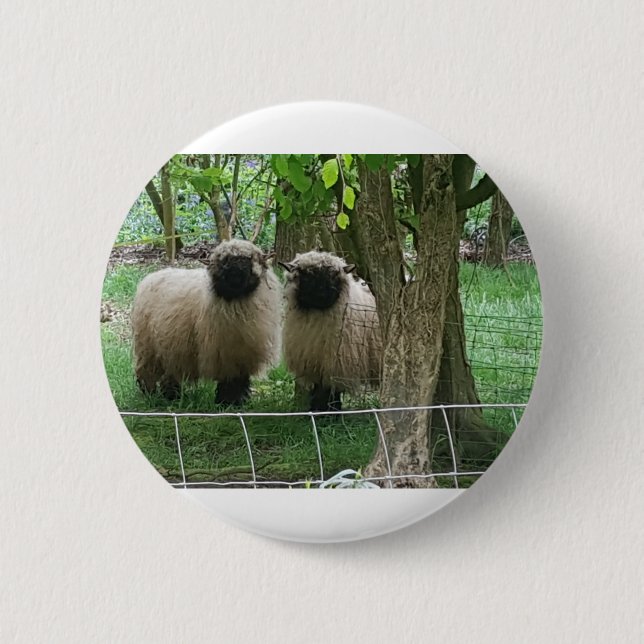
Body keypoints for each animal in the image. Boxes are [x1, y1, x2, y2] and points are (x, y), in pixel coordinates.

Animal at [131, 239, 281, 405]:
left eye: (249, 258)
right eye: (224, 260)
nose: (236, 266)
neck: (236, 302)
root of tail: (151, 276)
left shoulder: (241, 355)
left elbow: (239, 380)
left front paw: (237, 402)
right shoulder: (225, 355)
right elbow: (230, 381)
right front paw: (227, 402)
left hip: (169, 346)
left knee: (169, 372)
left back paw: (172, 396)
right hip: (148, 346)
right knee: (146, 372)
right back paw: (150, 394)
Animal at [280, 251, 382, 412]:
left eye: (334, 276)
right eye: (306, 275)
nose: (322, 294)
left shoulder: (337, 364)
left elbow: (331, 392)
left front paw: (331, 413)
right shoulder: (315, 363)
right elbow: (317, 390)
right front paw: (316, 410)